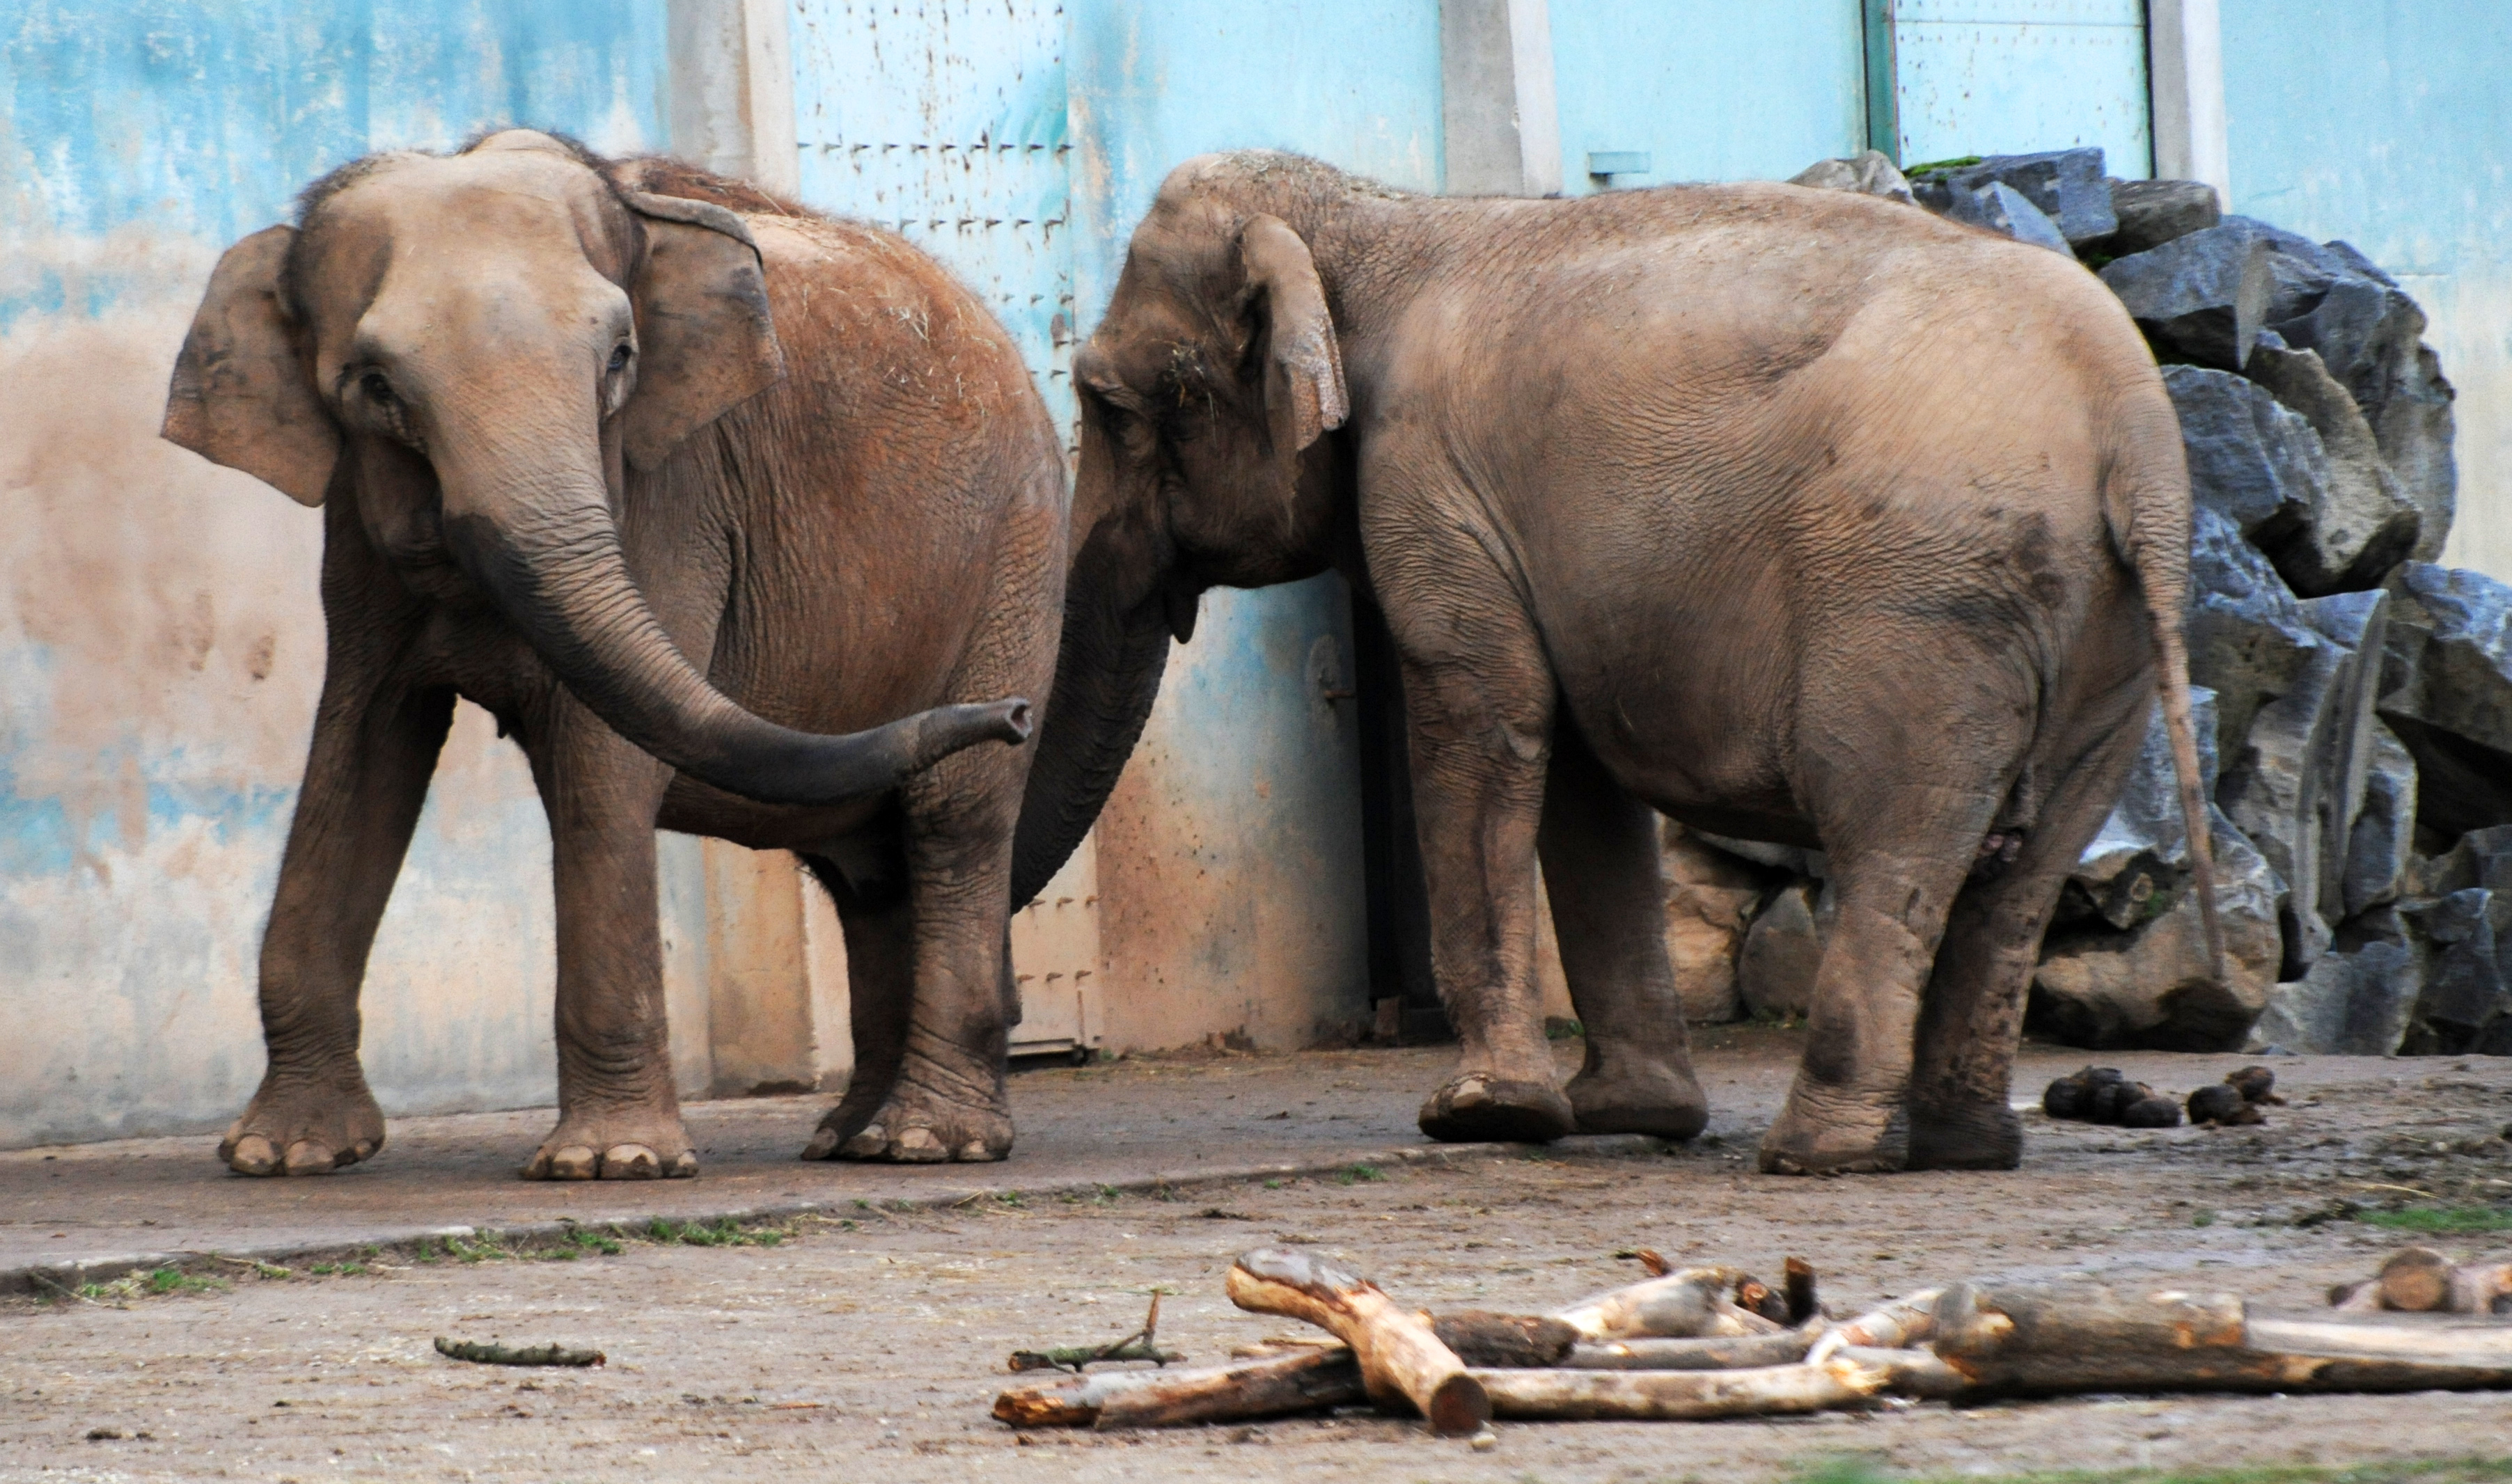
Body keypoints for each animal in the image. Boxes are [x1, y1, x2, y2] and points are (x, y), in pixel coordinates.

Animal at [154, 130, 1060, 1185]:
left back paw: (926, 1142)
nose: (1014, 717)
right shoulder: (357, 533)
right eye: (374, 387)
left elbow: (601, 765)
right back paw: (851, 1140)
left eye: (621, 359)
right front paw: (284, 1155)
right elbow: (363, 748)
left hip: (1017, 547)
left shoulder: (672, 492)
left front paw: (611, 1164)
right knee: (865, 865)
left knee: (952, 821)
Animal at [999, 148, 2220, 1175]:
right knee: (2024, 873)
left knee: (1892, 836)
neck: (1371, 214)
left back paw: (1815, 1153)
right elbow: (1580, 778)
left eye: (1113, 405)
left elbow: (1483, 718)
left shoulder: (1428, 480)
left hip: (1918, 603)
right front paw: (1629, 1116)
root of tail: (2134, 432)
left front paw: (1484, 1118)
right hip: (2099, 638)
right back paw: (1964, 1149)